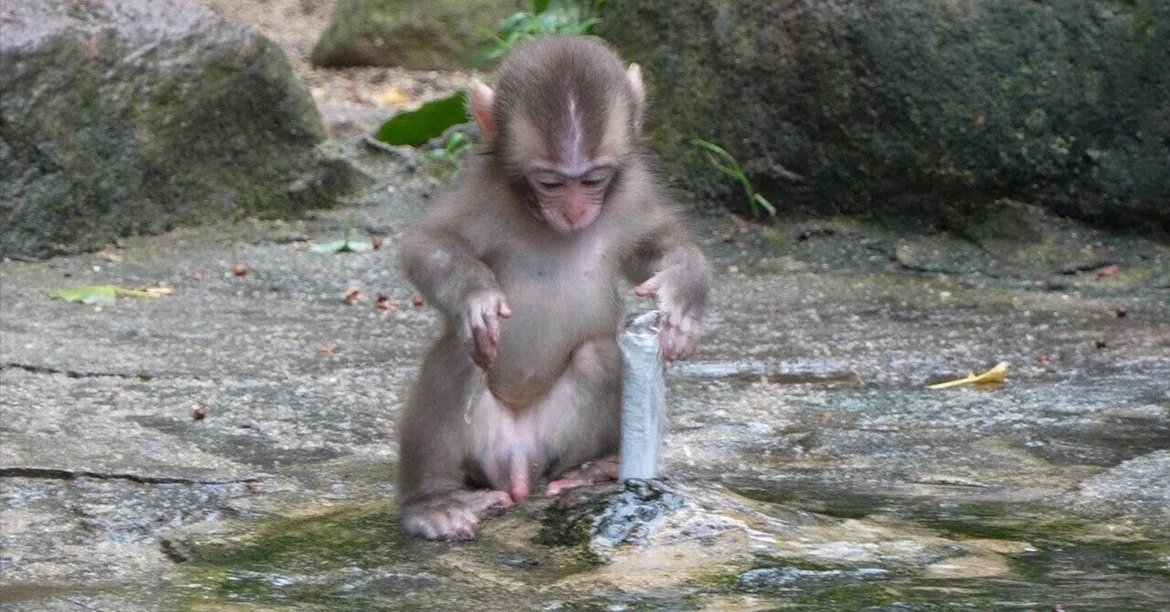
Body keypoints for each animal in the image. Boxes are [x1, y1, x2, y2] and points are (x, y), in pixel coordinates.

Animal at [396, 36, 712, 540]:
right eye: (550, 182)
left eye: (594, 178)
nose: (576, 212)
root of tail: (518, 465)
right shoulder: (485, 191)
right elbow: (430, 244)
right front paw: (476, 298)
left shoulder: (631, 193)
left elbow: (659, 247)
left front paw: (681, 297)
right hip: (481, 448)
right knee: (458, 356)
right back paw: (431, 503)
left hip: (554, 443)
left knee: (600, 356)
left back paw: (595, 469)